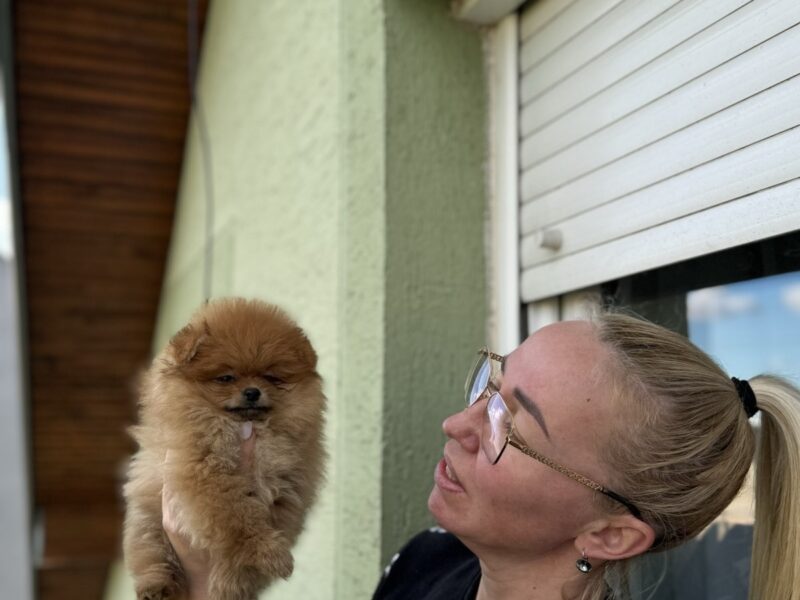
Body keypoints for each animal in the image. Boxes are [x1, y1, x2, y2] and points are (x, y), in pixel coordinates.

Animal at [123, 298, 326, 596]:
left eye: (271, 377)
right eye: (226, 378)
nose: (252, 391)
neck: (246, 427)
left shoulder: (287, 491)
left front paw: (230, 581)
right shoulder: (206, 474)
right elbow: (239, 517)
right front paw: (268, 553)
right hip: (147, 523)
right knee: (151, 556)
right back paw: (156, 586)